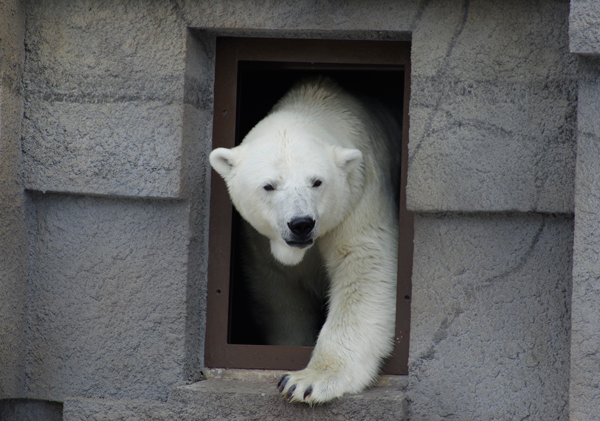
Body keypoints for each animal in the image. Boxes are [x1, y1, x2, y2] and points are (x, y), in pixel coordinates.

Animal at [209, 76, 400, 404]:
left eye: (317, 182)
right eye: (269, 186)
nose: (301, 224)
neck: (314, 101)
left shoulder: (360, 194)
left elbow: (363, 265)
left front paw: (305, 382)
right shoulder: (260, 240)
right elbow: (280, 296)